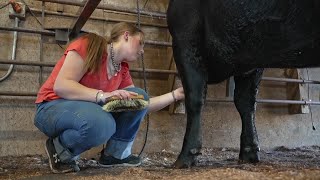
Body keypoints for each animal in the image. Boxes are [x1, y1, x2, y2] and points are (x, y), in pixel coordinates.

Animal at [168, 0, 320, 168]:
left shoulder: (185, 36)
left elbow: (194, 98)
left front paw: (186, 155)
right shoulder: (251, 59)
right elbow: (246, 102)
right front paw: (249, 152)